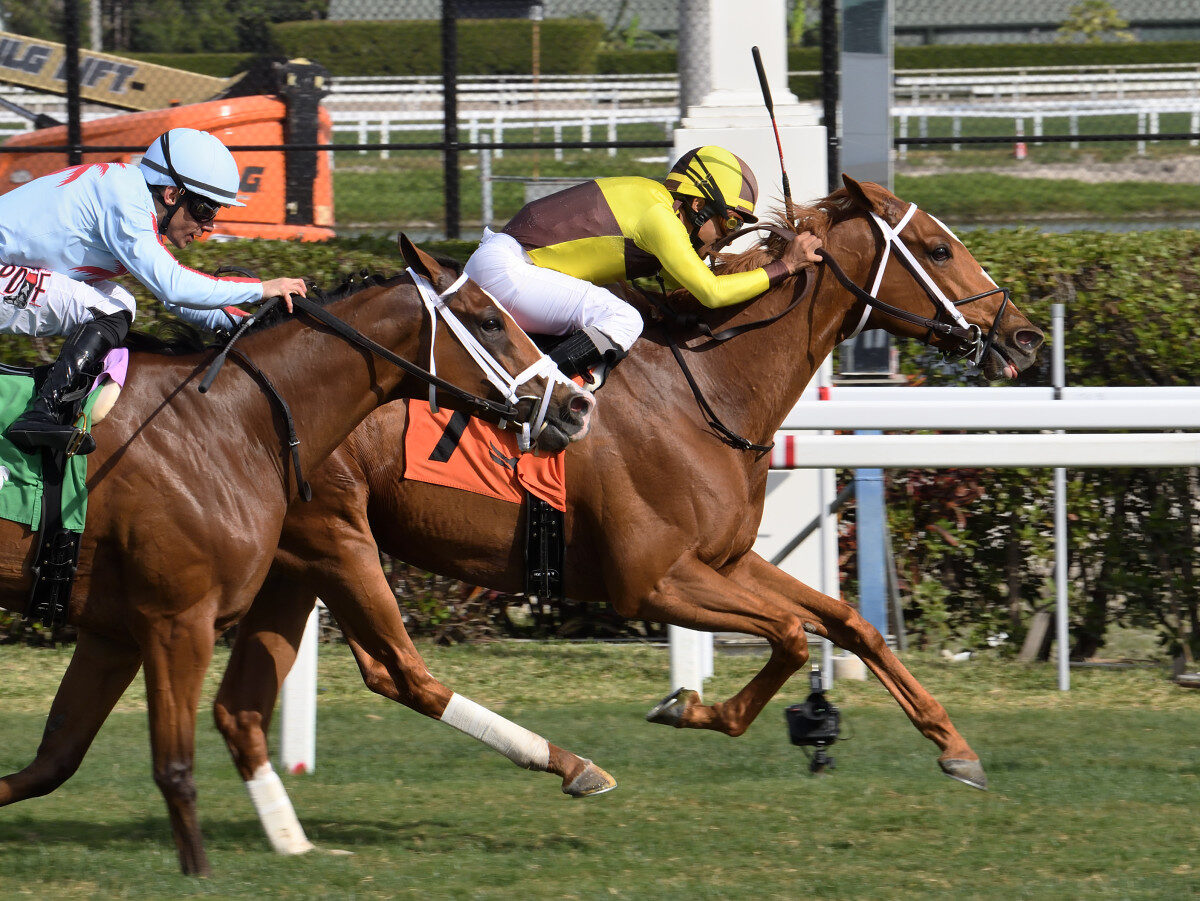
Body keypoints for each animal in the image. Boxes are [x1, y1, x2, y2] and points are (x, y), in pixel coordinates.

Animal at [0, 239, 597, 873]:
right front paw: (201, 873)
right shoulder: (177, 622)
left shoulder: (113, 631)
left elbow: (53, 759)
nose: (578, 404)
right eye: (490, 321)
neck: (231, 422)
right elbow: (174, 766)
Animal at [213, 177, 1041, 854]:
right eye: (938, 246)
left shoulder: (724, 558)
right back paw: (570, 764)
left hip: (297, 558)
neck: (706, 386)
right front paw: (690, 705)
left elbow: (847, 621)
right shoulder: (650, 580)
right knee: (397, 670)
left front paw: (954, 744)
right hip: (340, 537)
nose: (1024, 334)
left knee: (250, 700)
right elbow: (788, 633)